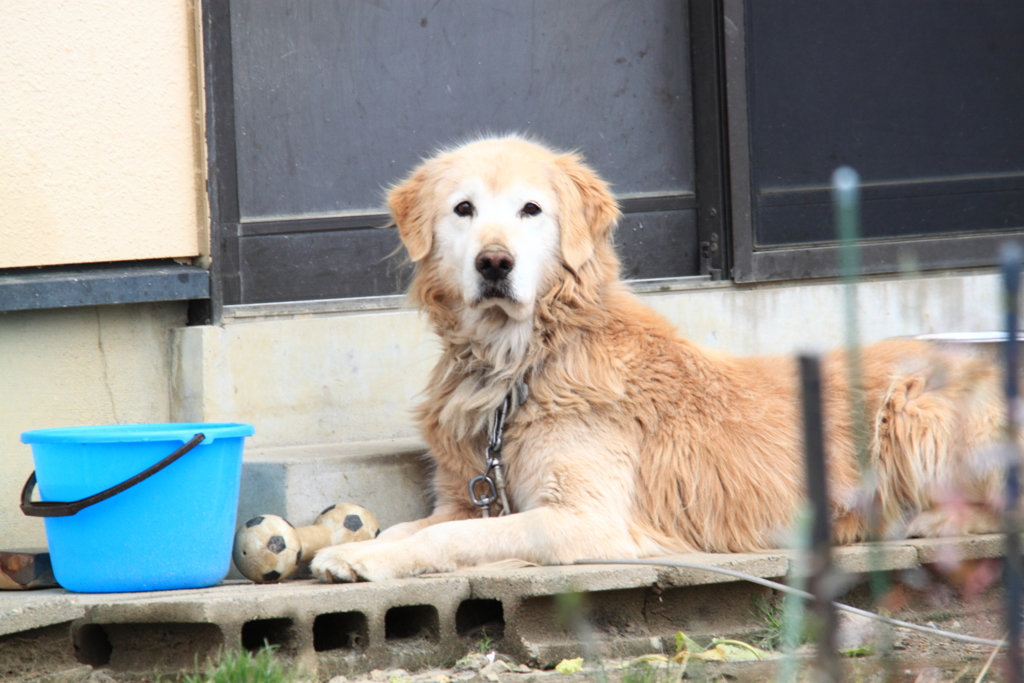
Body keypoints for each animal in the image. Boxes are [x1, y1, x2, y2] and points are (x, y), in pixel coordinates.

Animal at [309, 137, 999, 581]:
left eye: (532, 209)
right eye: (463, 209)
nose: (494, 263)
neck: (523, 364)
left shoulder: (583, 520)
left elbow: (454, 535)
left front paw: (368, 560)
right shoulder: (468, 492)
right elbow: (418, 526)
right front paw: (351, 550)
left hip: (917, 410)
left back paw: (923, 523)